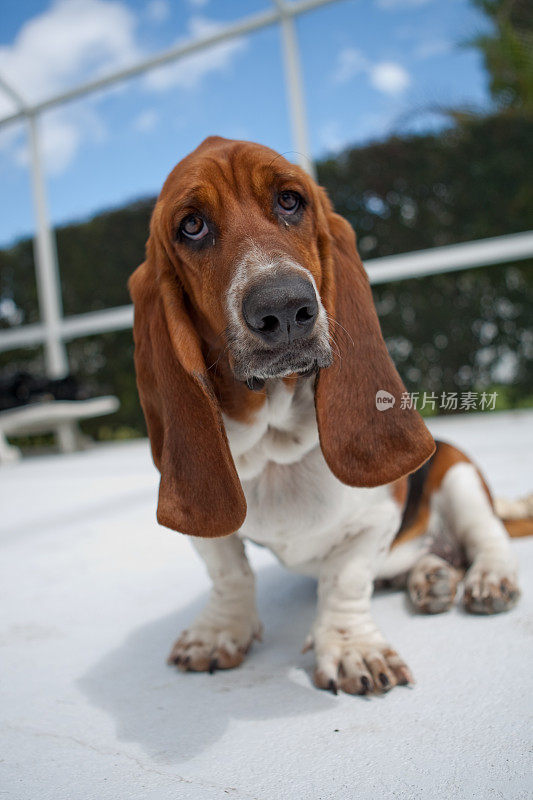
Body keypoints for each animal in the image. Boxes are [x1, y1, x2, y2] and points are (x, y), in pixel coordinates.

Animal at [130, 136, 528, 692]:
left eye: (290, 200)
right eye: (191, 225)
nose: (284, 307)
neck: (276, 446)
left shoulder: (377, 517)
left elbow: (346, 579)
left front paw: (351, 648)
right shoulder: (208, 527)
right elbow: (229, 571)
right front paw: (218, 632)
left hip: (459, 473)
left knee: (488, 536)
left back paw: (488, 578)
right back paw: (431, 576)